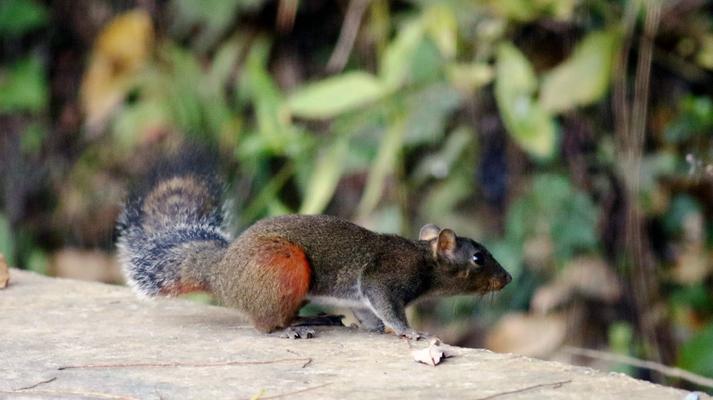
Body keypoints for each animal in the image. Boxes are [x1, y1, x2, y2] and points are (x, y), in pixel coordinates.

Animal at [117, 158, 508, 340]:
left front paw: (374, 329)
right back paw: (288, 328)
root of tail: (222, 273)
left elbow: (368, 312)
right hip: (281, 266)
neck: (424, 260)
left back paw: (312, 318)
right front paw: (410, 332)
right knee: (264, 324)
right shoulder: (385, 276)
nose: (507, 278)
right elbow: (386, 304)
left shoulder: (362, 297)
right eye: (478, 258)